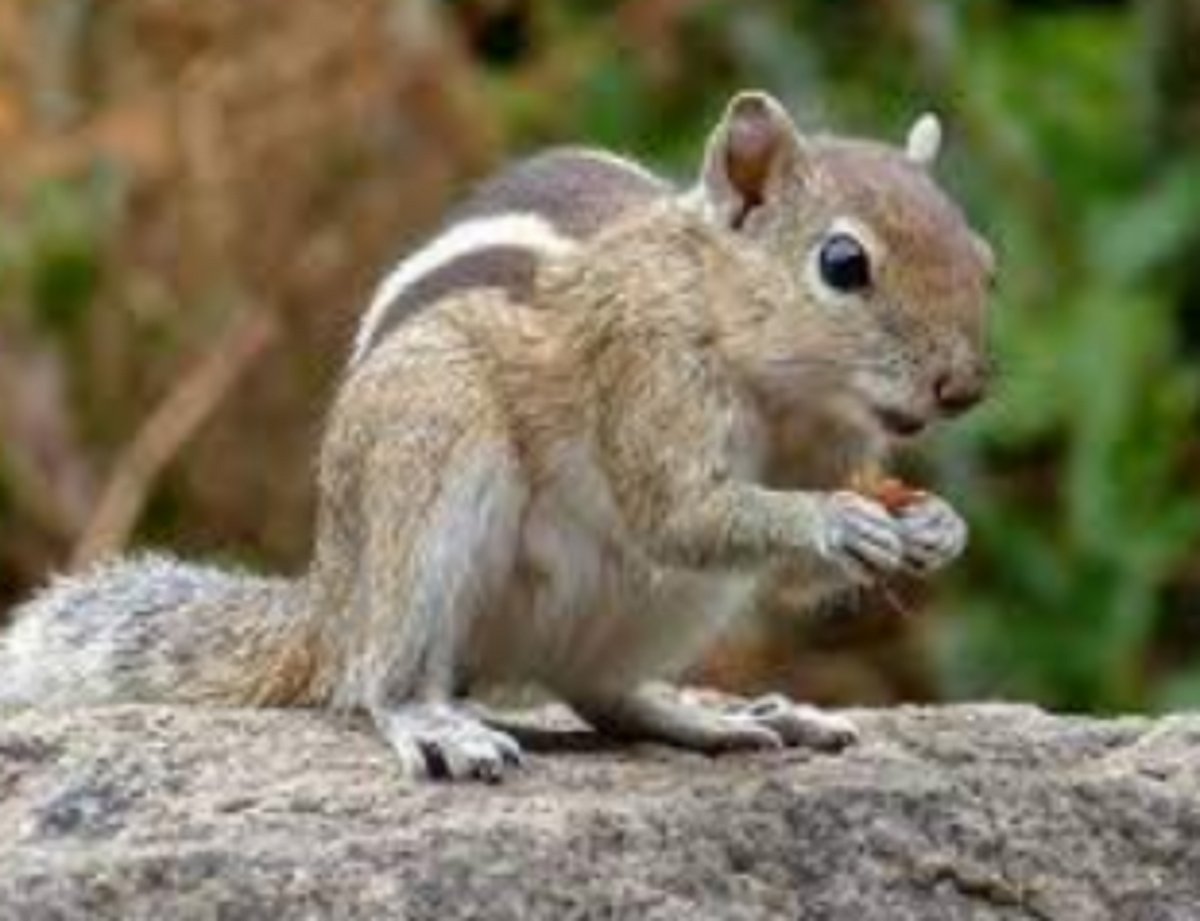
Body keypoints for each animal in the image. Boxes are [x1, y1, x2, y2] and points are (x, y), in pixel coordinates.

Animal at [0, 91, 994, 782]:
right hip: (432, 459)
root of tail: (331, 599)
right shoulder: (644, 375)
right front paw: (834, 520)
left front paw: (938, 526)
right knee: (380, 677)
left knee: (604, 695)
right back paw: (432, 721)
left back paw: (721, 718)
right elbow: (678, 511)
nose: (965, 387)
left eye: (984, 259)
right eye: (843, 263)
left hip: (671, 604)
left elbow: (786, 573)